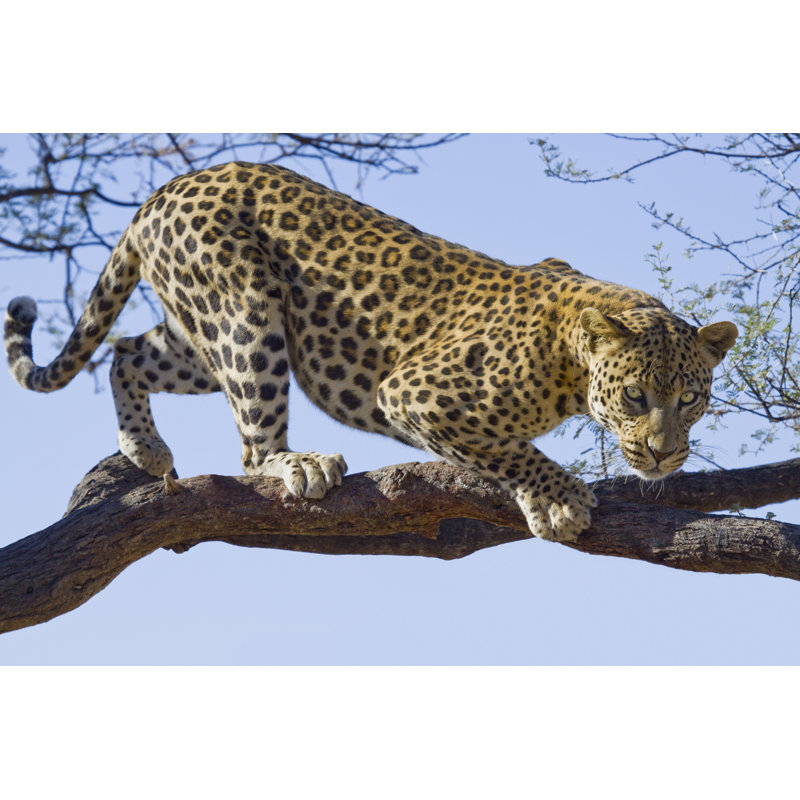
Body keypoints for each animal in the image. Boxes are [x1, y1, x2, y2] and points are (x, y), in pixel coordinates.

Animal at [4, 161, 738, 542]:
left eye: (691, 398)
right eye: (635, 396)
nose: (663, 454)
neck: (570, 361)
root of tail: (163, 189)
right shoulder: (415, 392)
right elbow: (509, 448)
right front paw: (556, 500)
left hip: (200, 331)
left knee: (127, 351)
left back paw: (146, 448)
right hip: (246, 312)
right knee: (251, 448)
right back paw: (298, 464)